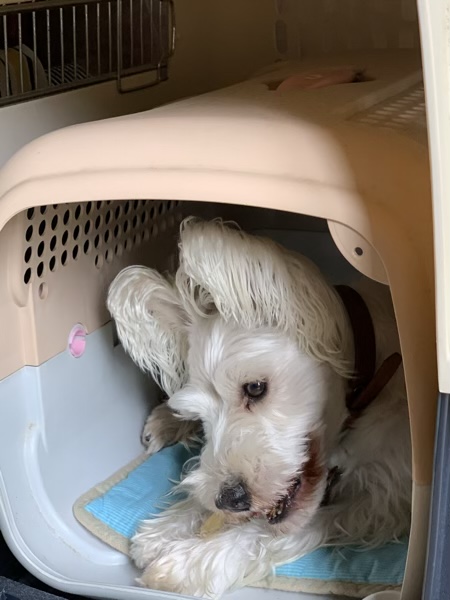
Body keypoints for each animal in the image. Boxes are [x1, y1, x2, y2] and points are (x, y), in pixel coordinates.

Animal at [107, 219, 411, 598]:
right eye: (203, 418)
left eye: (254, 387)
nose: (229, 499)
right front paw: (168, 527)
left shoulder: (380, 502)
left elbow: (265, 530)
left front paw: (188, 562)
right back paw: (164, 421)